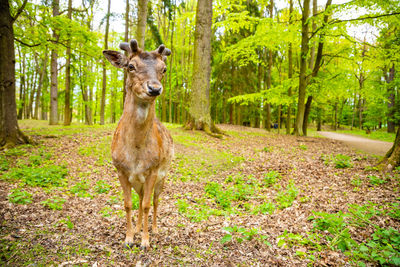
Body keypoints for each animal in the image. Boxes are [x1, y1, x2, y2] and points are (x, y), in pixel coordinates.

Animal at [102, 40, 173, 251]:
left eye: (164, 69)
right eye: (130, 66)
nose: (154, 88)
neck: (135, 154)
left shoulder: (153, 171)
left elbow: (147, 205)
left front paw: (145, 242)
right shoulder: (120, 170)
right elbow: (128, 204)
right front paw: (129, 238)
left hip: (163, 176)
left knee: (155, 201)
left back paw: (154, 229)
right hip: (138, 182)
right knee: (140, 199)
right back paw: (139, 227)